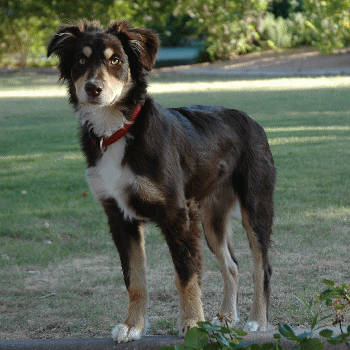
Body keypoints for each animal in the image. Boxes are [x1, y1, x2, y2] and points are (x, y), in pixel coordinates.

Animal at [47, 19, 276, 342]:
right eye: (81, 60)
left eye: (116, 61)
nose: (93, 88)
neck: (119, 130)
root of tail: (251, 121)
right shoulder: (120, 218)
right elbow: (135, 280)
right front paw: (133, 325)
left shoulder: (178, 215)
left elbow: (186, 276)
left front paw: (192, 323)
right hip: (212, 219)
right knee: (232, 266)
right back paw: (227, 318)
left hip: (255, 206)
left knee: (261, 266)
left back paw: (257, 320)